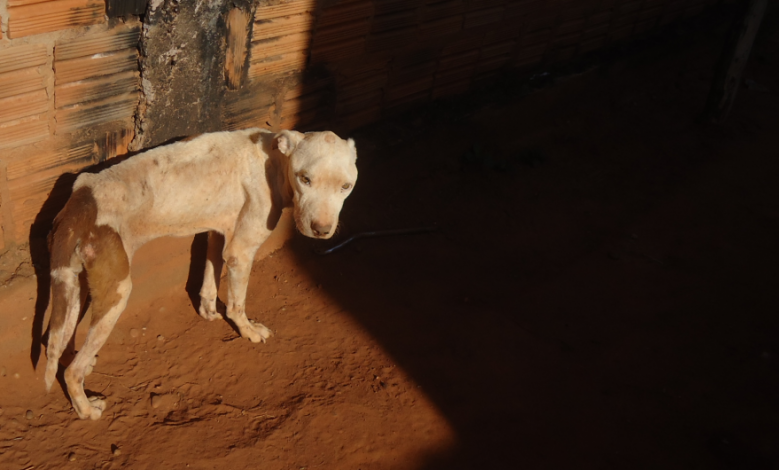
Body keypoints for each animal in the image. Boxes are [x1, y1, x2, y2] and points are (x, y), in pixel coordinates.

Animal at [45, 127, 356, 418]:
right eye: (305, 179)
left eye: (346, 186)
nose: (321, 230)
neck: (275, 160)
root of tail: (81, 199)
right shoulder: (241, 253)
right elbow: (237, 305)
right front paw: (248, 330)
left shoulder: (218, 233)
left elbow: (209, 279)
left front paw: (208, 312)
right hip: (116, 292)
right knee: (71, 371)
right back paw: (86, 409)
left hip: (74, 284)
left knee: (57, 344)